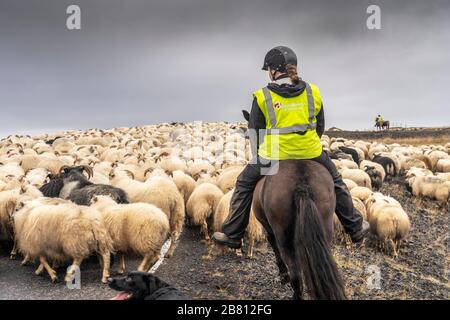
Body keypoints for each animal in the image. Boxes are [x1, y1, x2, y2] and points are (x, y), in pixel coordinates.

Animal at [251, 160, 346, 300]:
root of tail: (302, 186)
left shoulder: (267, 225)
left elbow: (273, 244)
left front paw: (283, 275)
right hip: (325, 228)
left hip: (284, 236)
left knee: (295, 273)